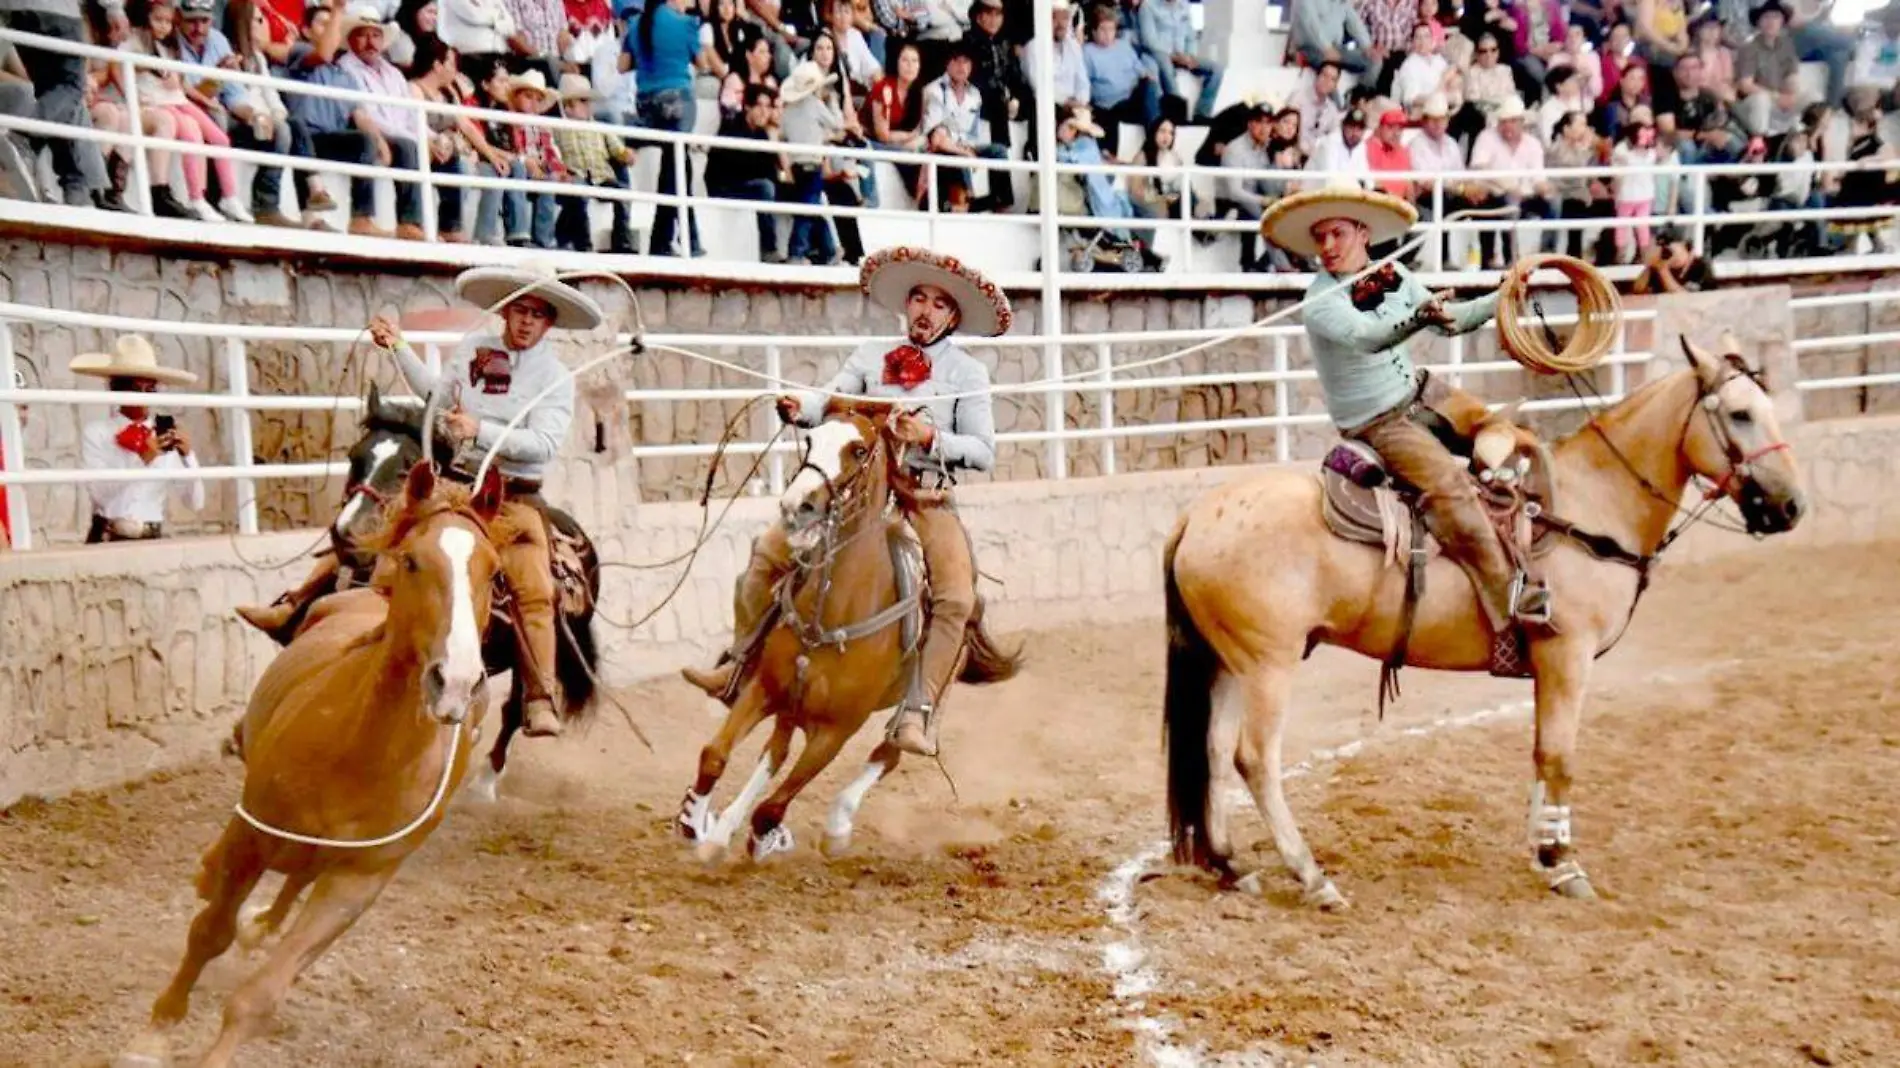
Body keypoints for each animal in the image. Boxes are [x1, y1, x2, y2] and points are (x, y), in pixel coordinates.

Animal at [115, 459, 505, 1064]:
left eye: (494, 571)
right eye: (414, 560)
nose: (458, 681)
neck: (361, 754)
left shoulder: (356, 883)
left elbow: (262, 995)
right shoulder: (253, 835)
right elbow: (209, 933)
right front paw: (154, 1033)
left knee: (295, 880)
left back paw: (264, 922)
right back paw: (211, 873)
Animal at [676, 397, 1018, 855]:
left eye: (858, 450)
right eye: (810, 440)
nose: (796, 506)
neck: (836, 609)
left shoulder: (836, 730)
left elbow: (773, 807)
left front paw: (767, 837)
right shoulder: (765, 688)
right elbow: (715, 754)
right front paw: (694, 820)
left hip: (929, 688)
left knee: (889, 752)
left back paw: (838, 822)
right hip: (791, 699)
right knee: (775, 751)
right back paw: (722, 825)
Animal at [1162, 336, 1801, 900]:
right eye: (1740, 414)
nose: (1791, 506)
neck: (1590, 507)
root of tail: (1196, 514)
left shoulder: (1550, 666)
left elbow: (1541, 750)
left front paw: (1544, 850)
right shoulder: (1568, 655)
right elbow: (1560, 755)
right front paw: (1565, 864)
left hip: (1229, 661)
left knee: (1212, 753)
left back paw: (1231, 865)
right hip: (1269, 664)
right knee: (1254, 760)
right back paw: (1312, 878)